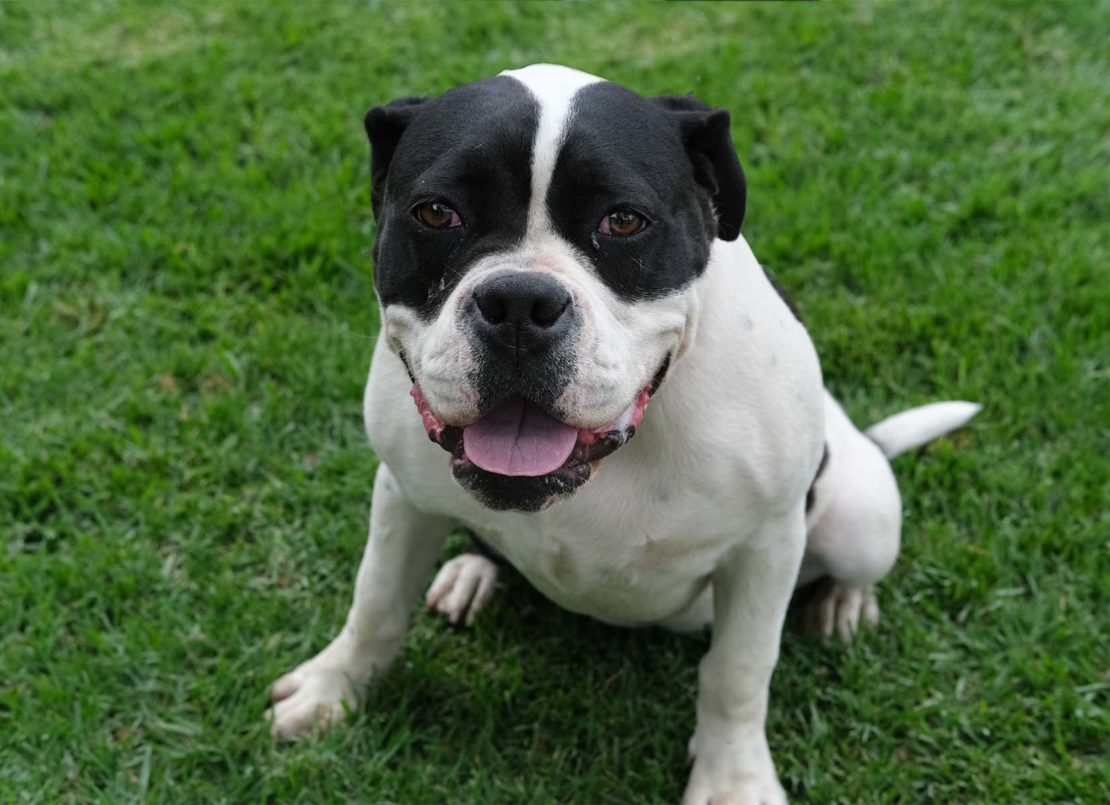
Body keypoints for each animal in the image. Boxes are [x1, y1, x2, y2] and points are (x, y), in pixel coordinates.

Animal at [268, 64, 981, 803]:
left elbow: (739, 670)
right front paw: (331, 689)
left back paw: (844, 601)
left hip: (862, 517)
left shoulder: (766, 543)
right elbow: (376, 601)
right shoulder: (402, 496)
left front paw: (733, 779)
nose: (519, 302)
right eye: (437, 213)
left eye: (624, 220)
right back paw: (472, 570)